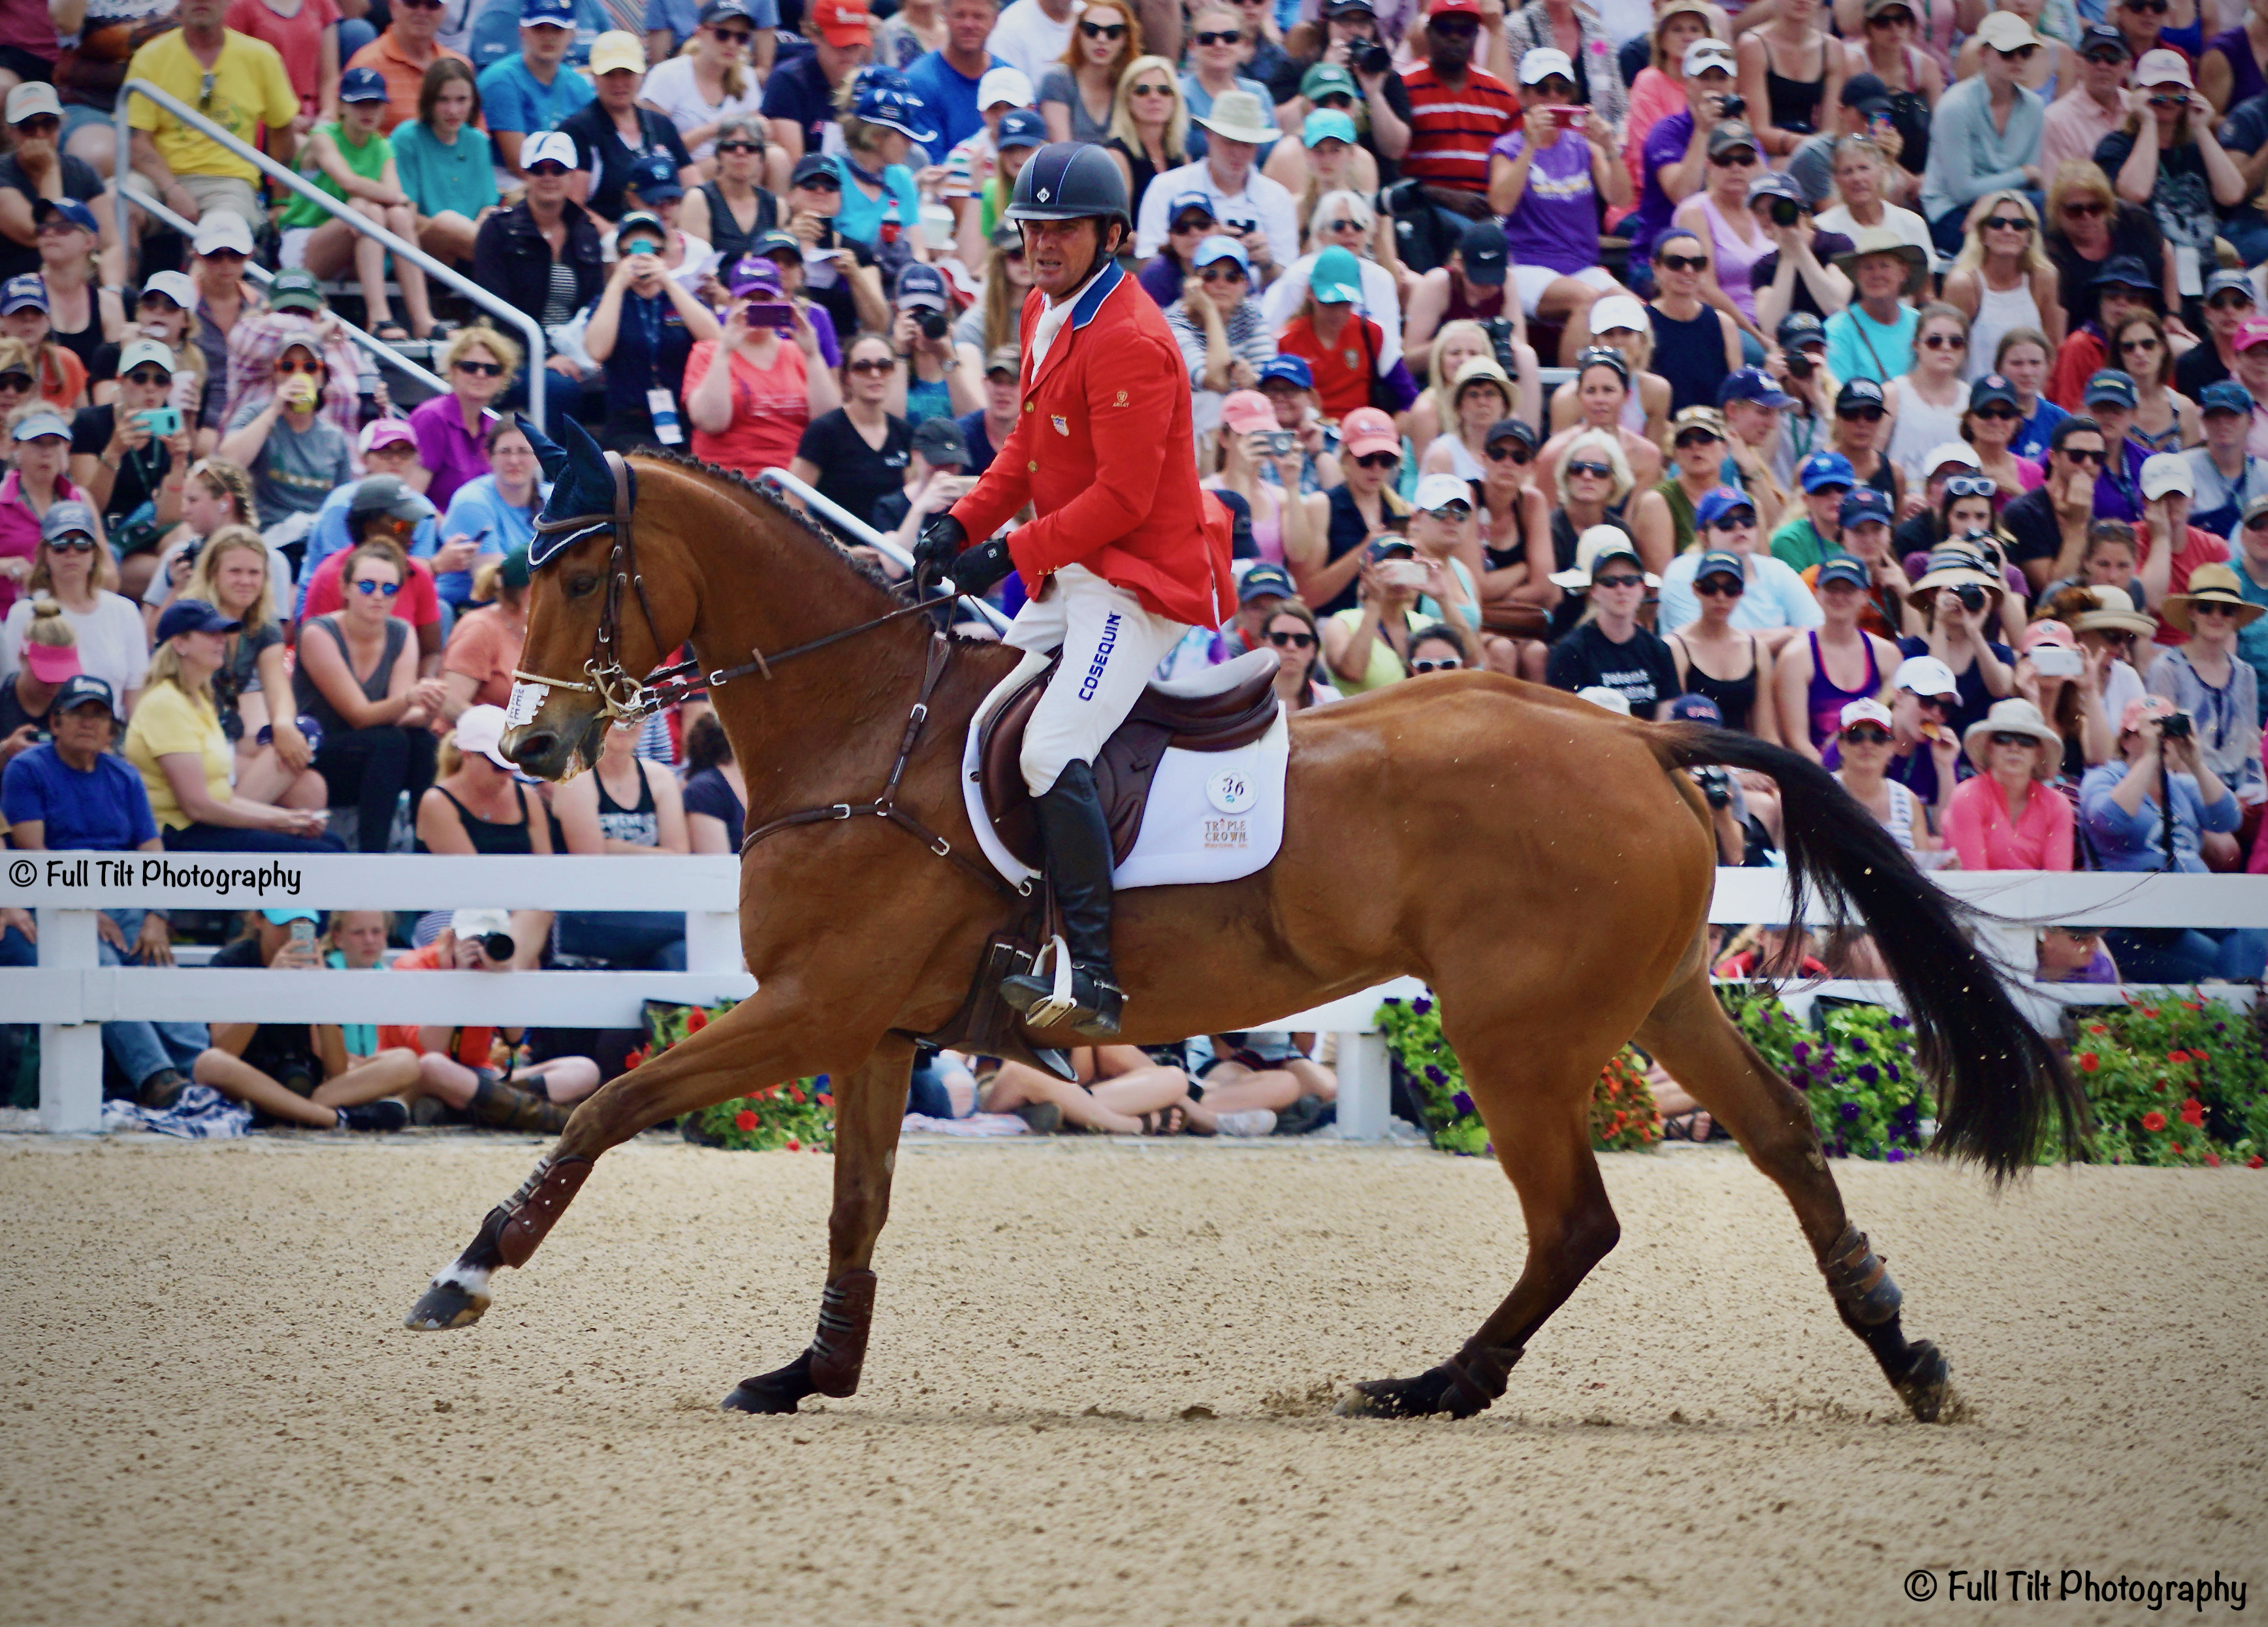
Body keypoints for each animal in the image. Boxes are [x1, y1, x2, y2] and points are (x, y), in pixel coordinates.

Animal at [404, 436, 2077, 1425]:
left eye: (576, 570)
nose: (529, 749)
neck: (865, 729)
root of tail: (1637, 733)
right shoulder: (871, 1030)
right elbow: (852, 1211)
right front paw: (812, 1366)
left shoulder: (812, 1008)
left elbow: (611, 1105)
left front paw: (468, 1272)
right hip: (1655, 999)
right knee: (1783, 1139)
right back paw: (1905, 1354)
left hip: (1517, 1034)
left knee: (1577, 1217)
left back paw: (1434, 1383)